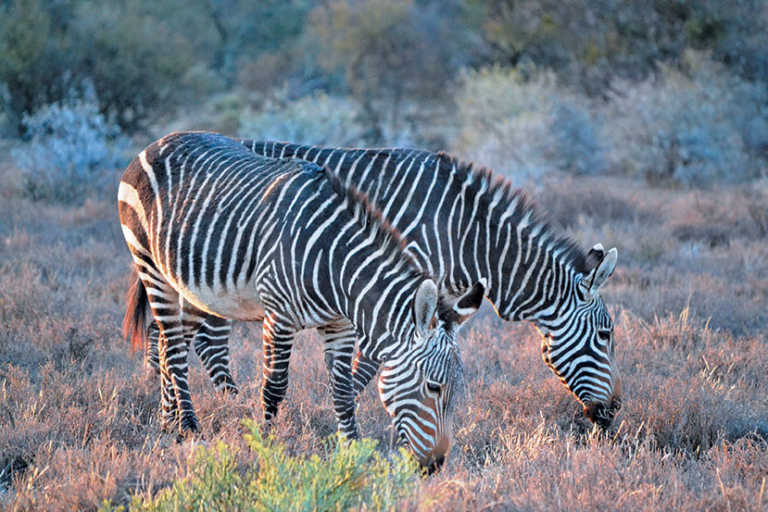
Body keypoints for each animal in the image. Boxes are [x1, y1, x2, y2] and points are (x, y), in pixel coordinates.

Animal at [117, 133, 484, 472]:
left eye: (456, 392)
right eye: (433, 387)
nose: (435, 465)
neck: (334, 263)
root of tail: (158, 142)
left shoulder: (340, 326)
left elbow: (343, 390)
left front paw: (351, 452)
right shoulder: (278, 317)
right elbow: (274, 387)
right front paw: (265, 444)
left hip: (195, 287)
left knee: (168, 342)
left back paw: (168, 422)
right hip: (150, 265)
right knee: (173, 349)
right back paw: (187, 426)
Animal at [152, 138, 624, 430]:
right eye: (605, 335)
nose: (615, 410)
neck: (465, 233)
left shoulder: (435, 301)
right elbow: (368, 366)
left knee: (172, 338)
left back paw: (170, 418)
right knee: (194, 340)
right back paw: (202, 413)